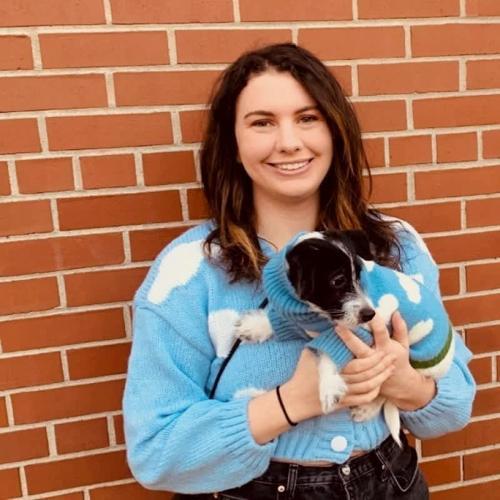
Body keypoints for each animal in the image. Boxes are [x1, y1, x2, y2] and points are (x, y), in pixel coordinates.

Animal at [234, 229, 454, 446]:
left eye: (360, 277)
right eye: (338, 281)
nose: (369, 314)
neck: (314, 312)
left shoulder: (355, 334)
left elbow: (329, 354)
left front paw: (328, 387)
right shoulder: (301, 321)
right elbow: (280, 322)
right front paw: (254, 326)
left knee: (387, 394)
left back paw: (367, 409)